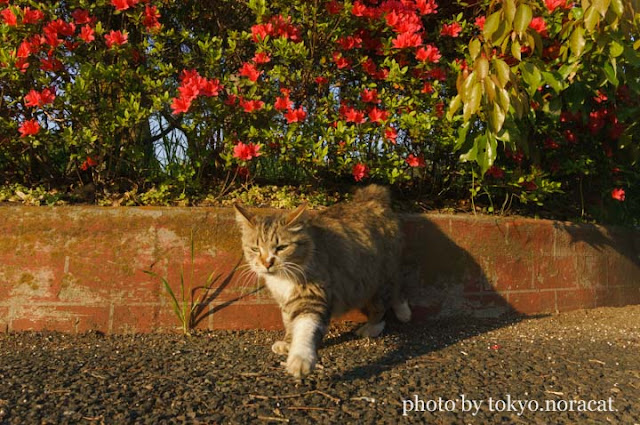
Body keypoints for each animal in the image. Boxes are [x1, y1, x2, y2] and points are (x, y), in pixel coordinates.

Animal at [234, 184, 410, 376]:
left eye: (281, 247)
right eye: (255, 249)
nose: (267, 263)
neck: (284, 278)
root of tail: (372, 198)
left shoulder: (312, 297)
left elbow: (305, 330)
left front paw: (300, 359)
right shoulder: (286, 301)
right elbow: (290, 323)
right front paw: (288, 343)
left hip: (379, 276)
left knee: (385, 300)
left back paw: (376, 325)